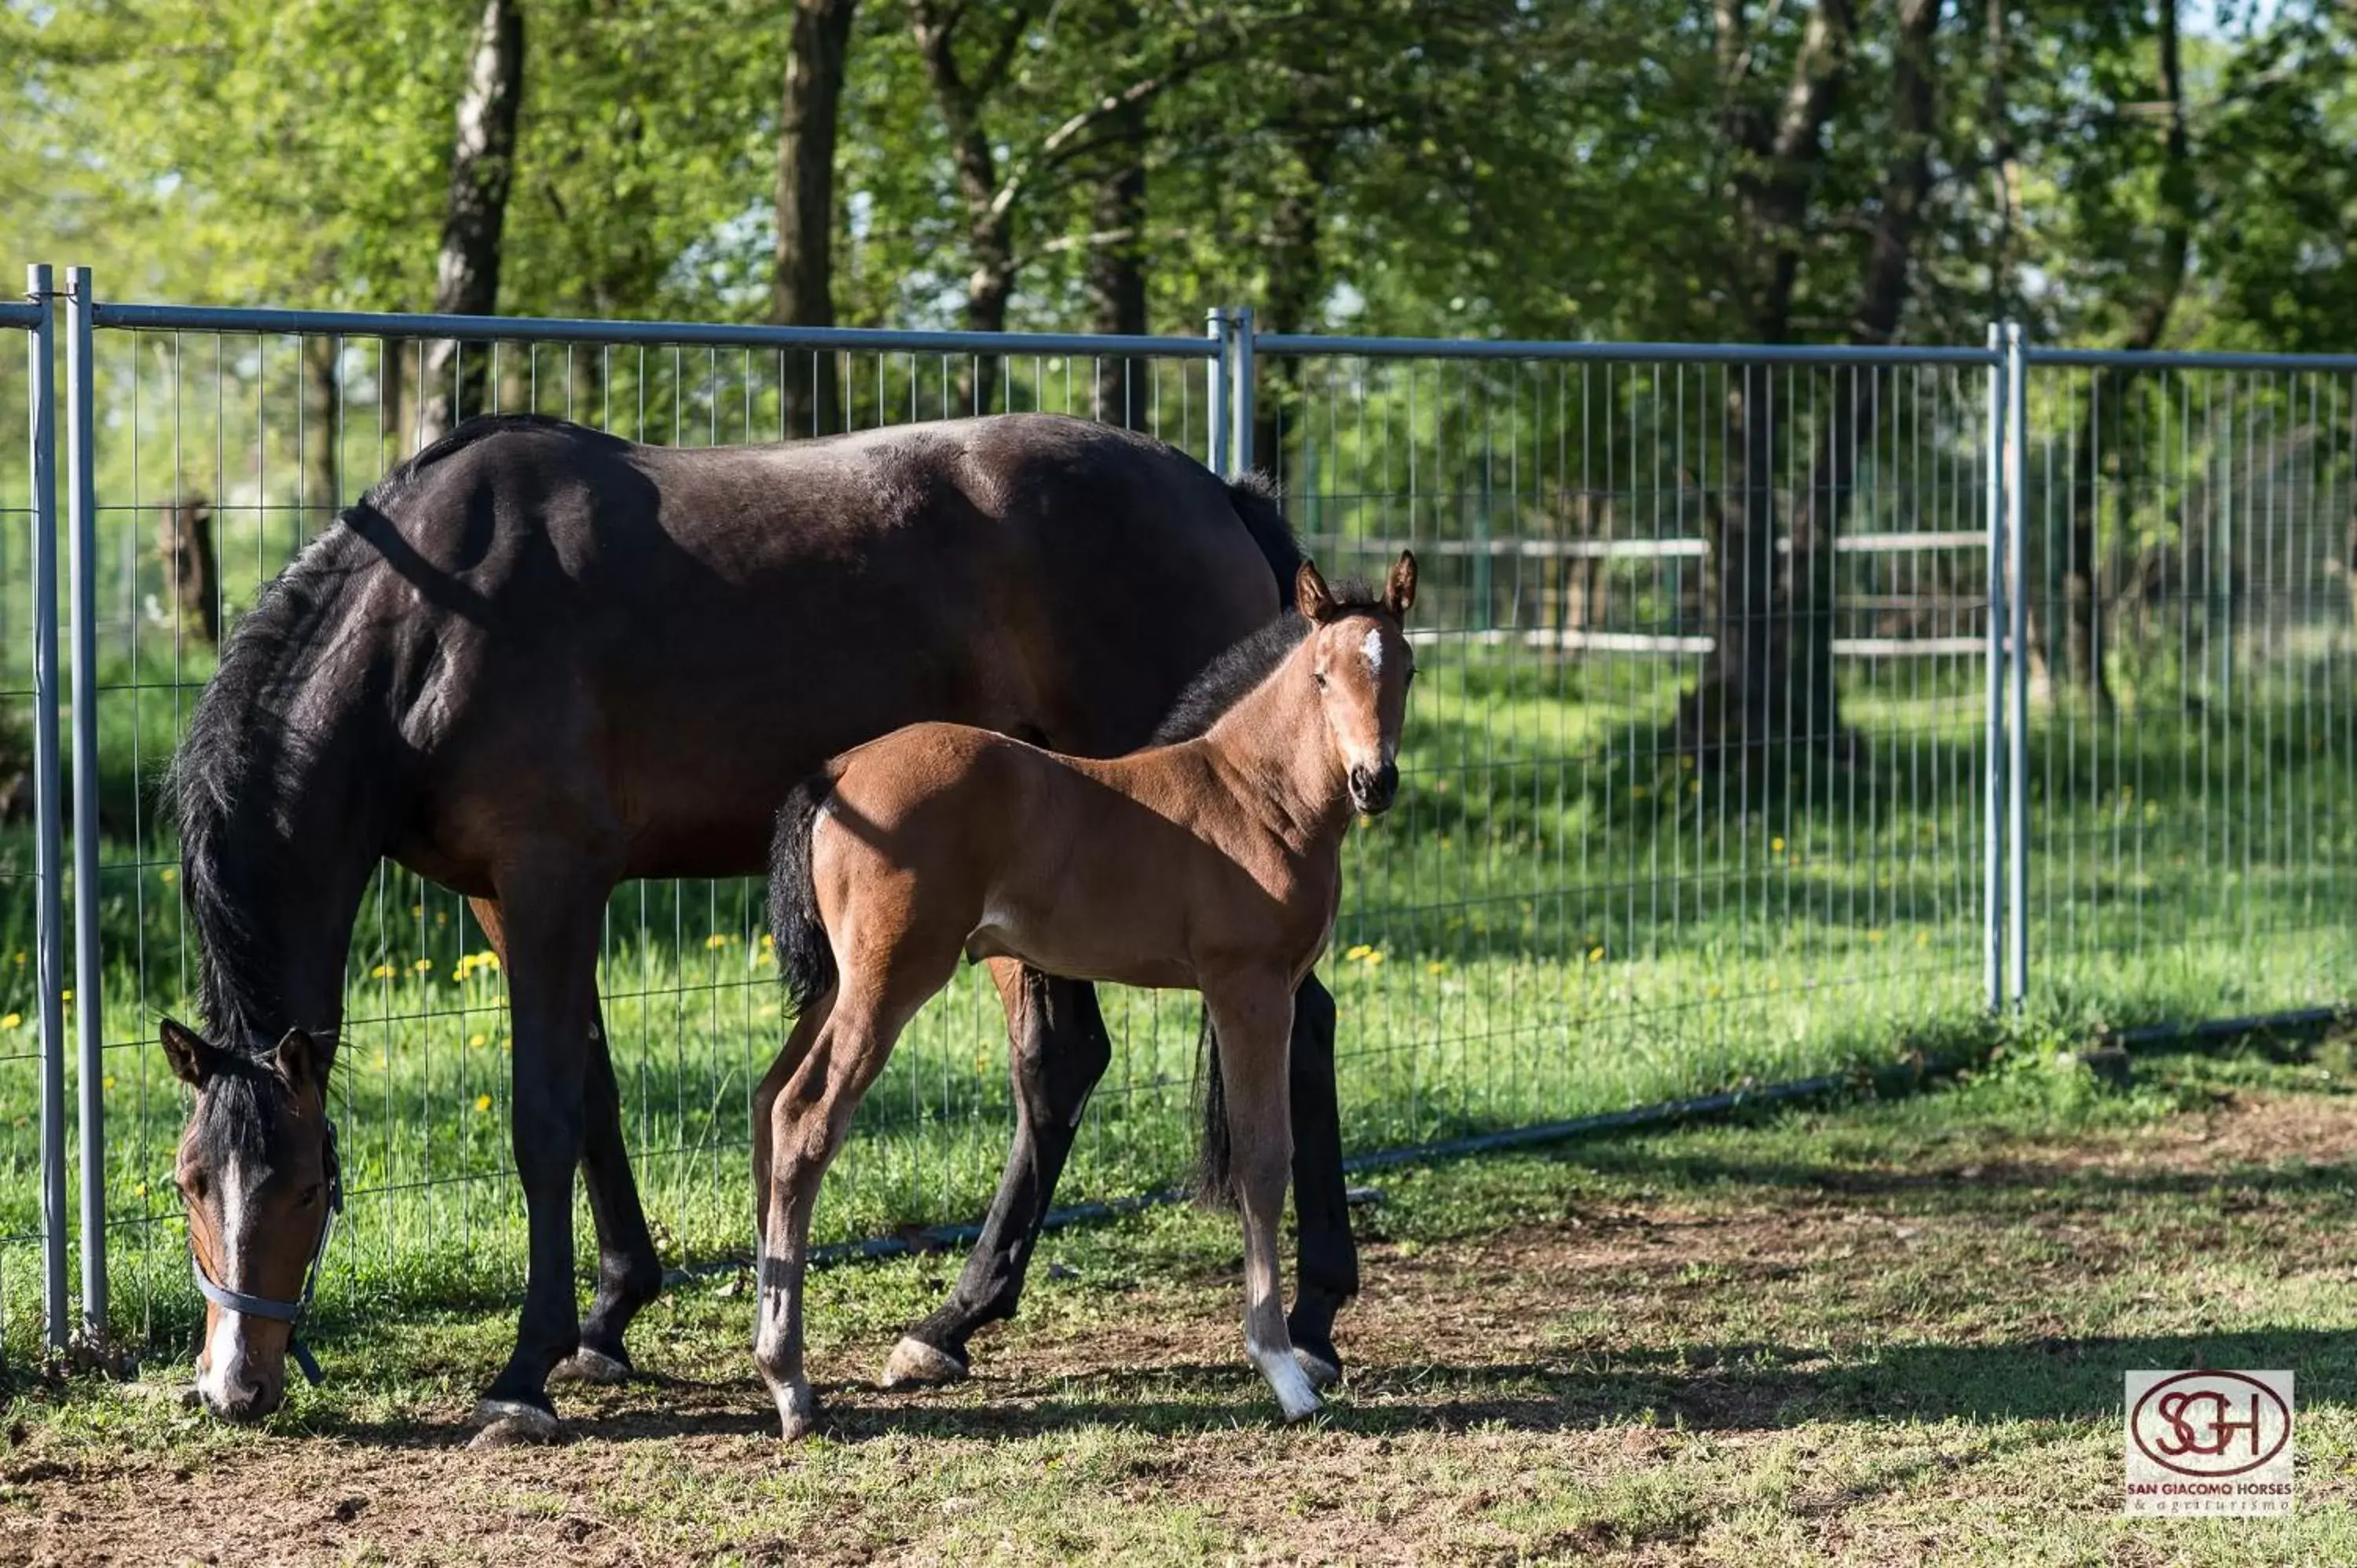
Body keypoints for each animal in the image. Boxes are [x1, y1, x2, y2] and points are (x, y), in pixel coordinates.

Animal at [759, 549, 1414, 1433]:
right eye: (1320, 675)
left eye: (1405, 669)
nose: (1374, 780)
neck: (1253, 795)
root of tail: (840, 770)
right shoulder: (1247, 986)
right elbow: (1261, 1156)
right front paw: (1284, 1370)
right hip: (890, 980)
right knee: (806, 1117)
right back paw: (791, 1384)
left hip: (840, 982)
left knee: (768, 1101)